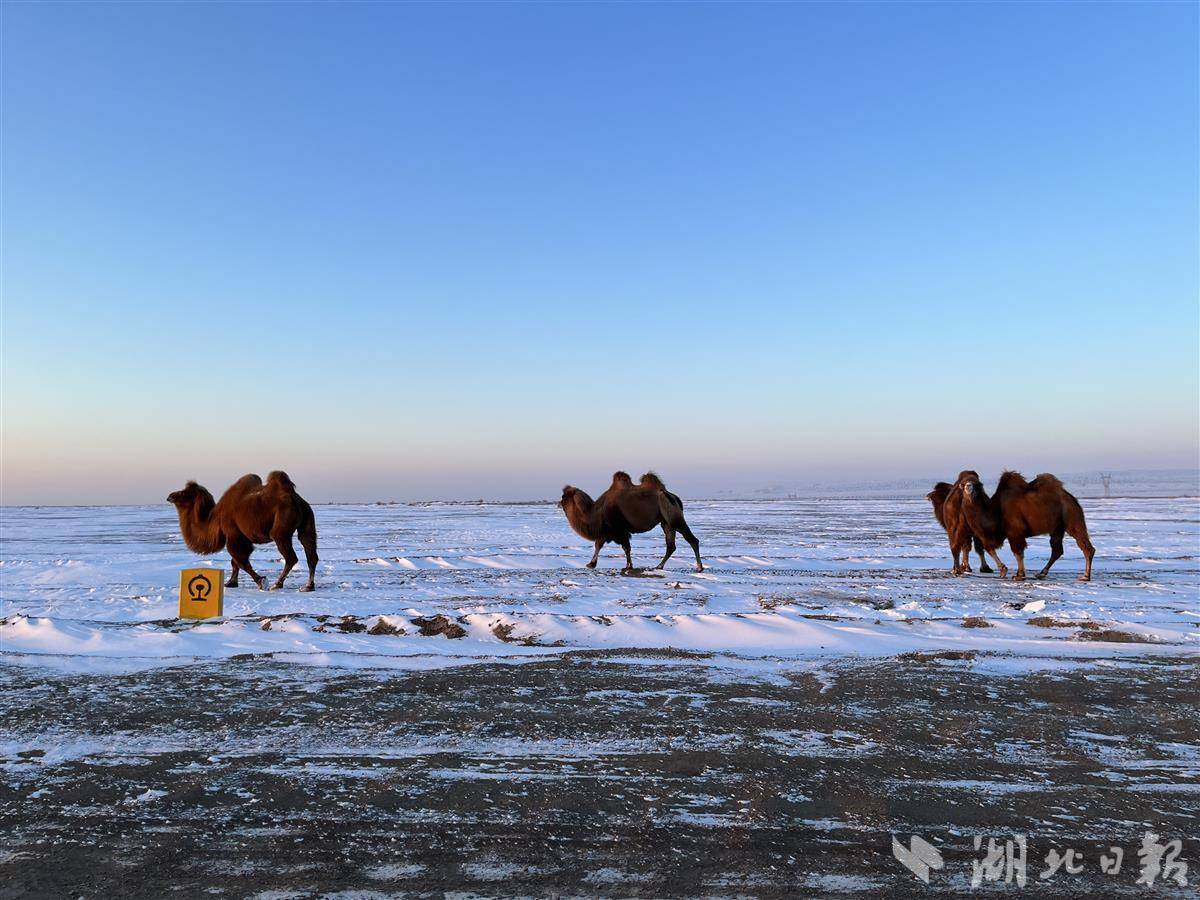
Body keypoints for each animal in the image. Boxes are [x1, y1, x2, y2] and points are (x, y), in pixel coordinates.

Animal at [169, 472, 321, 592]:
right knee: (311, 553)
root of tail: (297, 500)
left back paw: (277, 584)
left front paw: (261, 581)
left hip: (281, 529)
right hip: (308, 521)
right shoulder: (241, 537)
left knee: (291, 557)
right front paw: (230, 583)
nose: (170, 495)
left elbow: (240, 560)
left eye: (184, 492)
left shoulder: (233, 533)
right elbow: (235, 562)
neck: (215, 517)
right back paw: (308, 586)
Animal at [561, 472, 700, 571]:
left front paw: (627, 566)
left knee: (691, 539)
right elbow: (605, 545)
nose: (559, 502)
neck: (595, 513)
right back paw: (659, 566)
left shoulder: (617, 529)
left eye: (564, 497)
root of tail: (675, 498)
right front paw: (592, 564)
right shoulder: (611, 530)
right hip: (666, 523)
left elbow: (621, 547)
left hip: (673, 516)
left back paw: (699, 567)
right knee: (671, 546)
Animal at [960, 472, 1094, 585]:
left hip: (1072, 518)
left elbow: (1017, 553)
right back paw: (1041, 573)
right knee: (1057, 550)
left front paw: (1018, 575)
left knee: (1085, 546)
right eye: (963, 483)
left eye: (976, 484)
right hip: (1057, 528)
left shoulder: (1014, 532)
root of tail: (1073, 499)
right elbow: (989, 548)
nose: (968, 486)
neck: (995, 511)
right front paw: (1005, 571)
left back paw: (1085, 576)